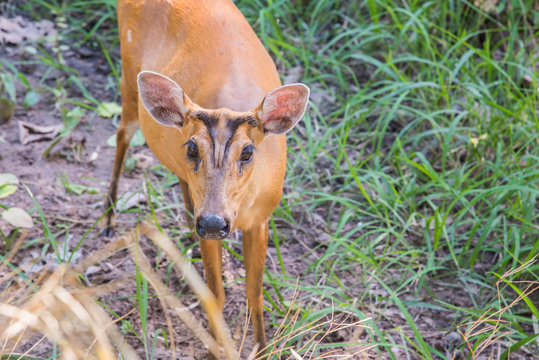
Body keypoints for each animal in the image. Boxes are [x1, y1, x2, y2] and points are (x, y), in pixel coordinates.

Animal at [103, 0, 310, 358]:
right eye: (192, 147)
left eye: (248, 152)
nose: (214, 222)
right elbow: (216, 296)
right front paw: (218, 348)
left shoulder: (262, 219)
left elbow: (255, 293)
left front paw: (262, 348)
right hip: (128, 72)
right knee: (121, 135)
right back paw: (108, 220)